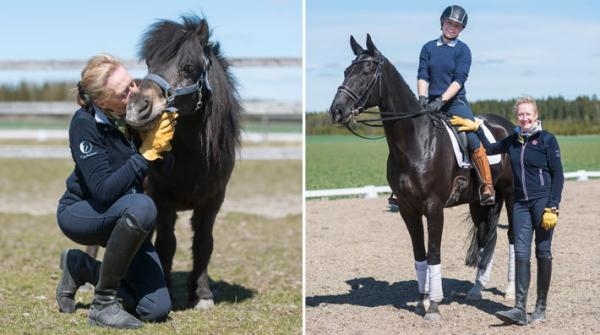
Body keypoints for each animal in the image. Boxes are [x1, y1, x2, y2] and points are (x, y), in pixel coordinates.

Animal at [125, 15, 243, 310]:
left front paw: (201, 295)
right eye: (150, 63)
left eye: (188, 67)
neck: (194, 158)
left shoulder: (213, 201)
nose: (136, 108)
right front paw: (166, 290)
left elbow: (203, 243)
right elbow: (167, 244)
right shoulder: (163, 200)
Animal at [328, 35, 516, 322]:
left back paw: (511, 292)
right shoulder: (408, 209)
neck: (416, 140)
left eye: (367, 71)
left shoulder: (434, 207)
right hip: (480, 203)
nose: (337, 111)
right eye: (347, 71)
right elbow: (420, 254)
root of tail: (509, 126)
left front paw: (434, 306)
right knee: (487, 238)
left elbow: (434, 252)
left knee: (514, 238)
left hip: (513, 196)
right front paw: (421, 301)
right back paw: (475, 290)